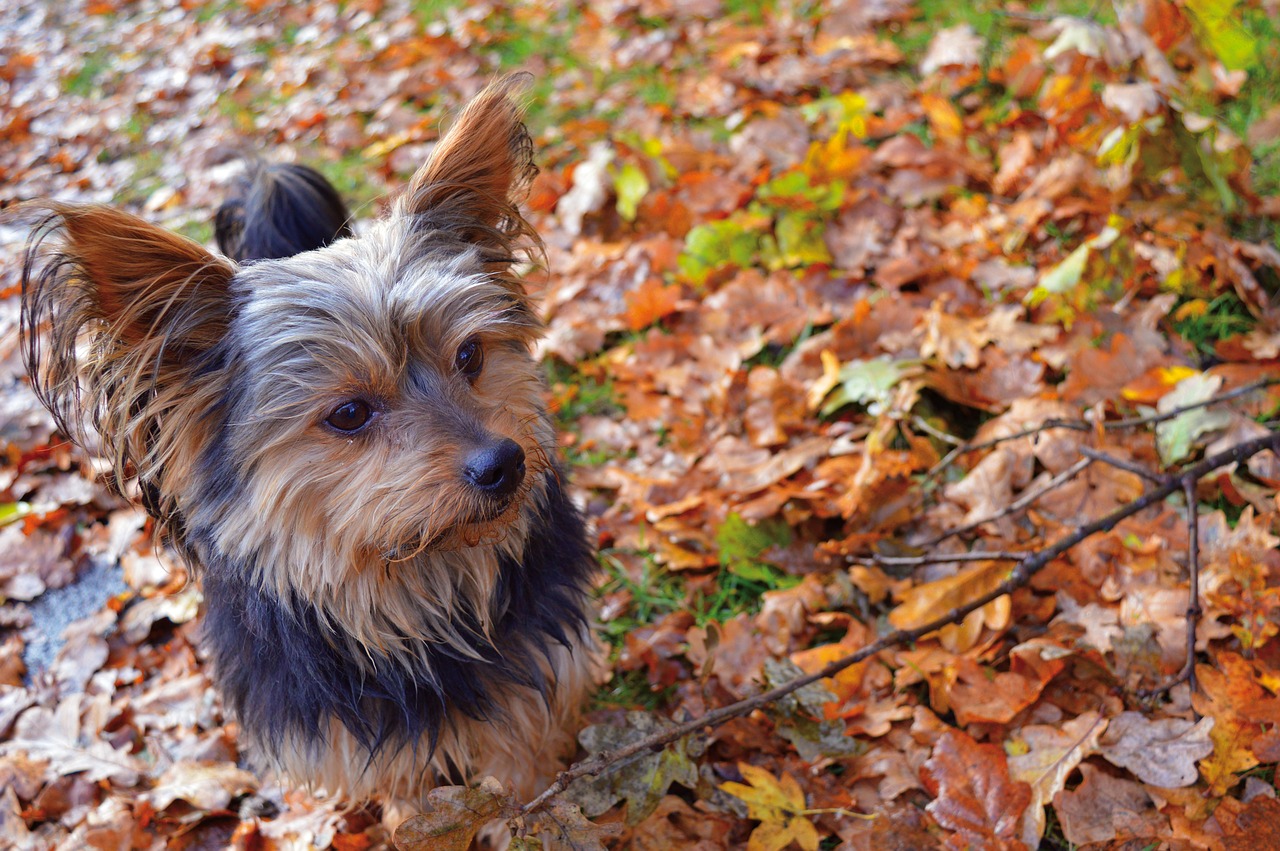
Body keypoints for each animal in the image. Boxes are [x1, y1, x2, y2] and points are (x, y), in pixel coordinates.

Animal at [20, 76, 596, 813]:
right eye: (349, 413)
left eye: (470, 355)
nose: (505, 464)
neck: (413, 598)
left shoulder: (535, 679)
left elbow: (526, 776)